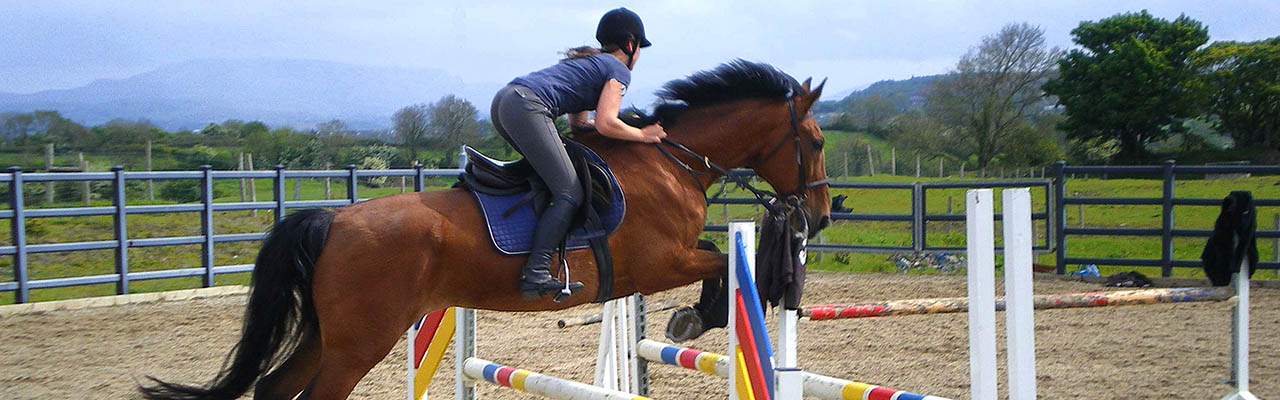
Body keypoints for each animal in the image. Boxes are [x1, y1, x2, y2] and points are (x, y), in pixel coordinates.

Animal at [142, 60, 829, 400]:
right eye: (817, 141)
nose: (821, 216)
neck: (670, 160)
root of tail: (333, 218)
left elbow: (715, 254)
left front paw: (687, 320)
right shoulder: (661, 262)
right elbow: (721, 261)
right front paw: (692, 318)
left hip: (327, 333)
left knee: (273, 387)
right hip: (362, 339)